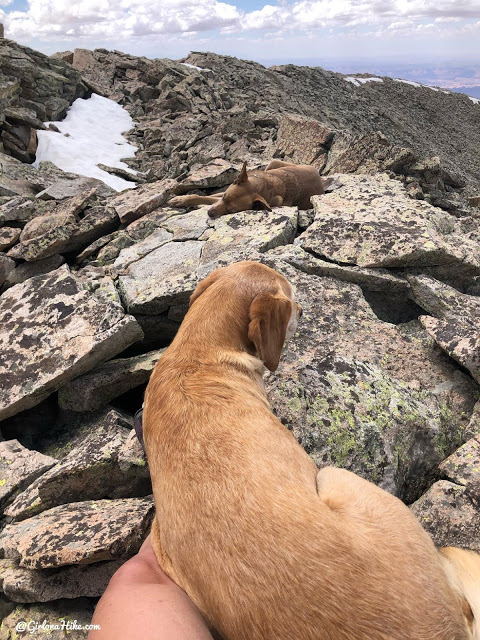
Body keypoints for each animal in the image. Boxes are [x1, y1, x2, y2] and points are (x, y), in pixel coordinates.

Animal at [166, 159, 330, 219]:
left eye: (231, 211)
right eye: (225, 197)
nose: (210, 213)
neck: (265, 186)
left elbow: (208, 199)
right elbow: (203, 197)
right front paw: (180, 199)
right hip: (274, 162)